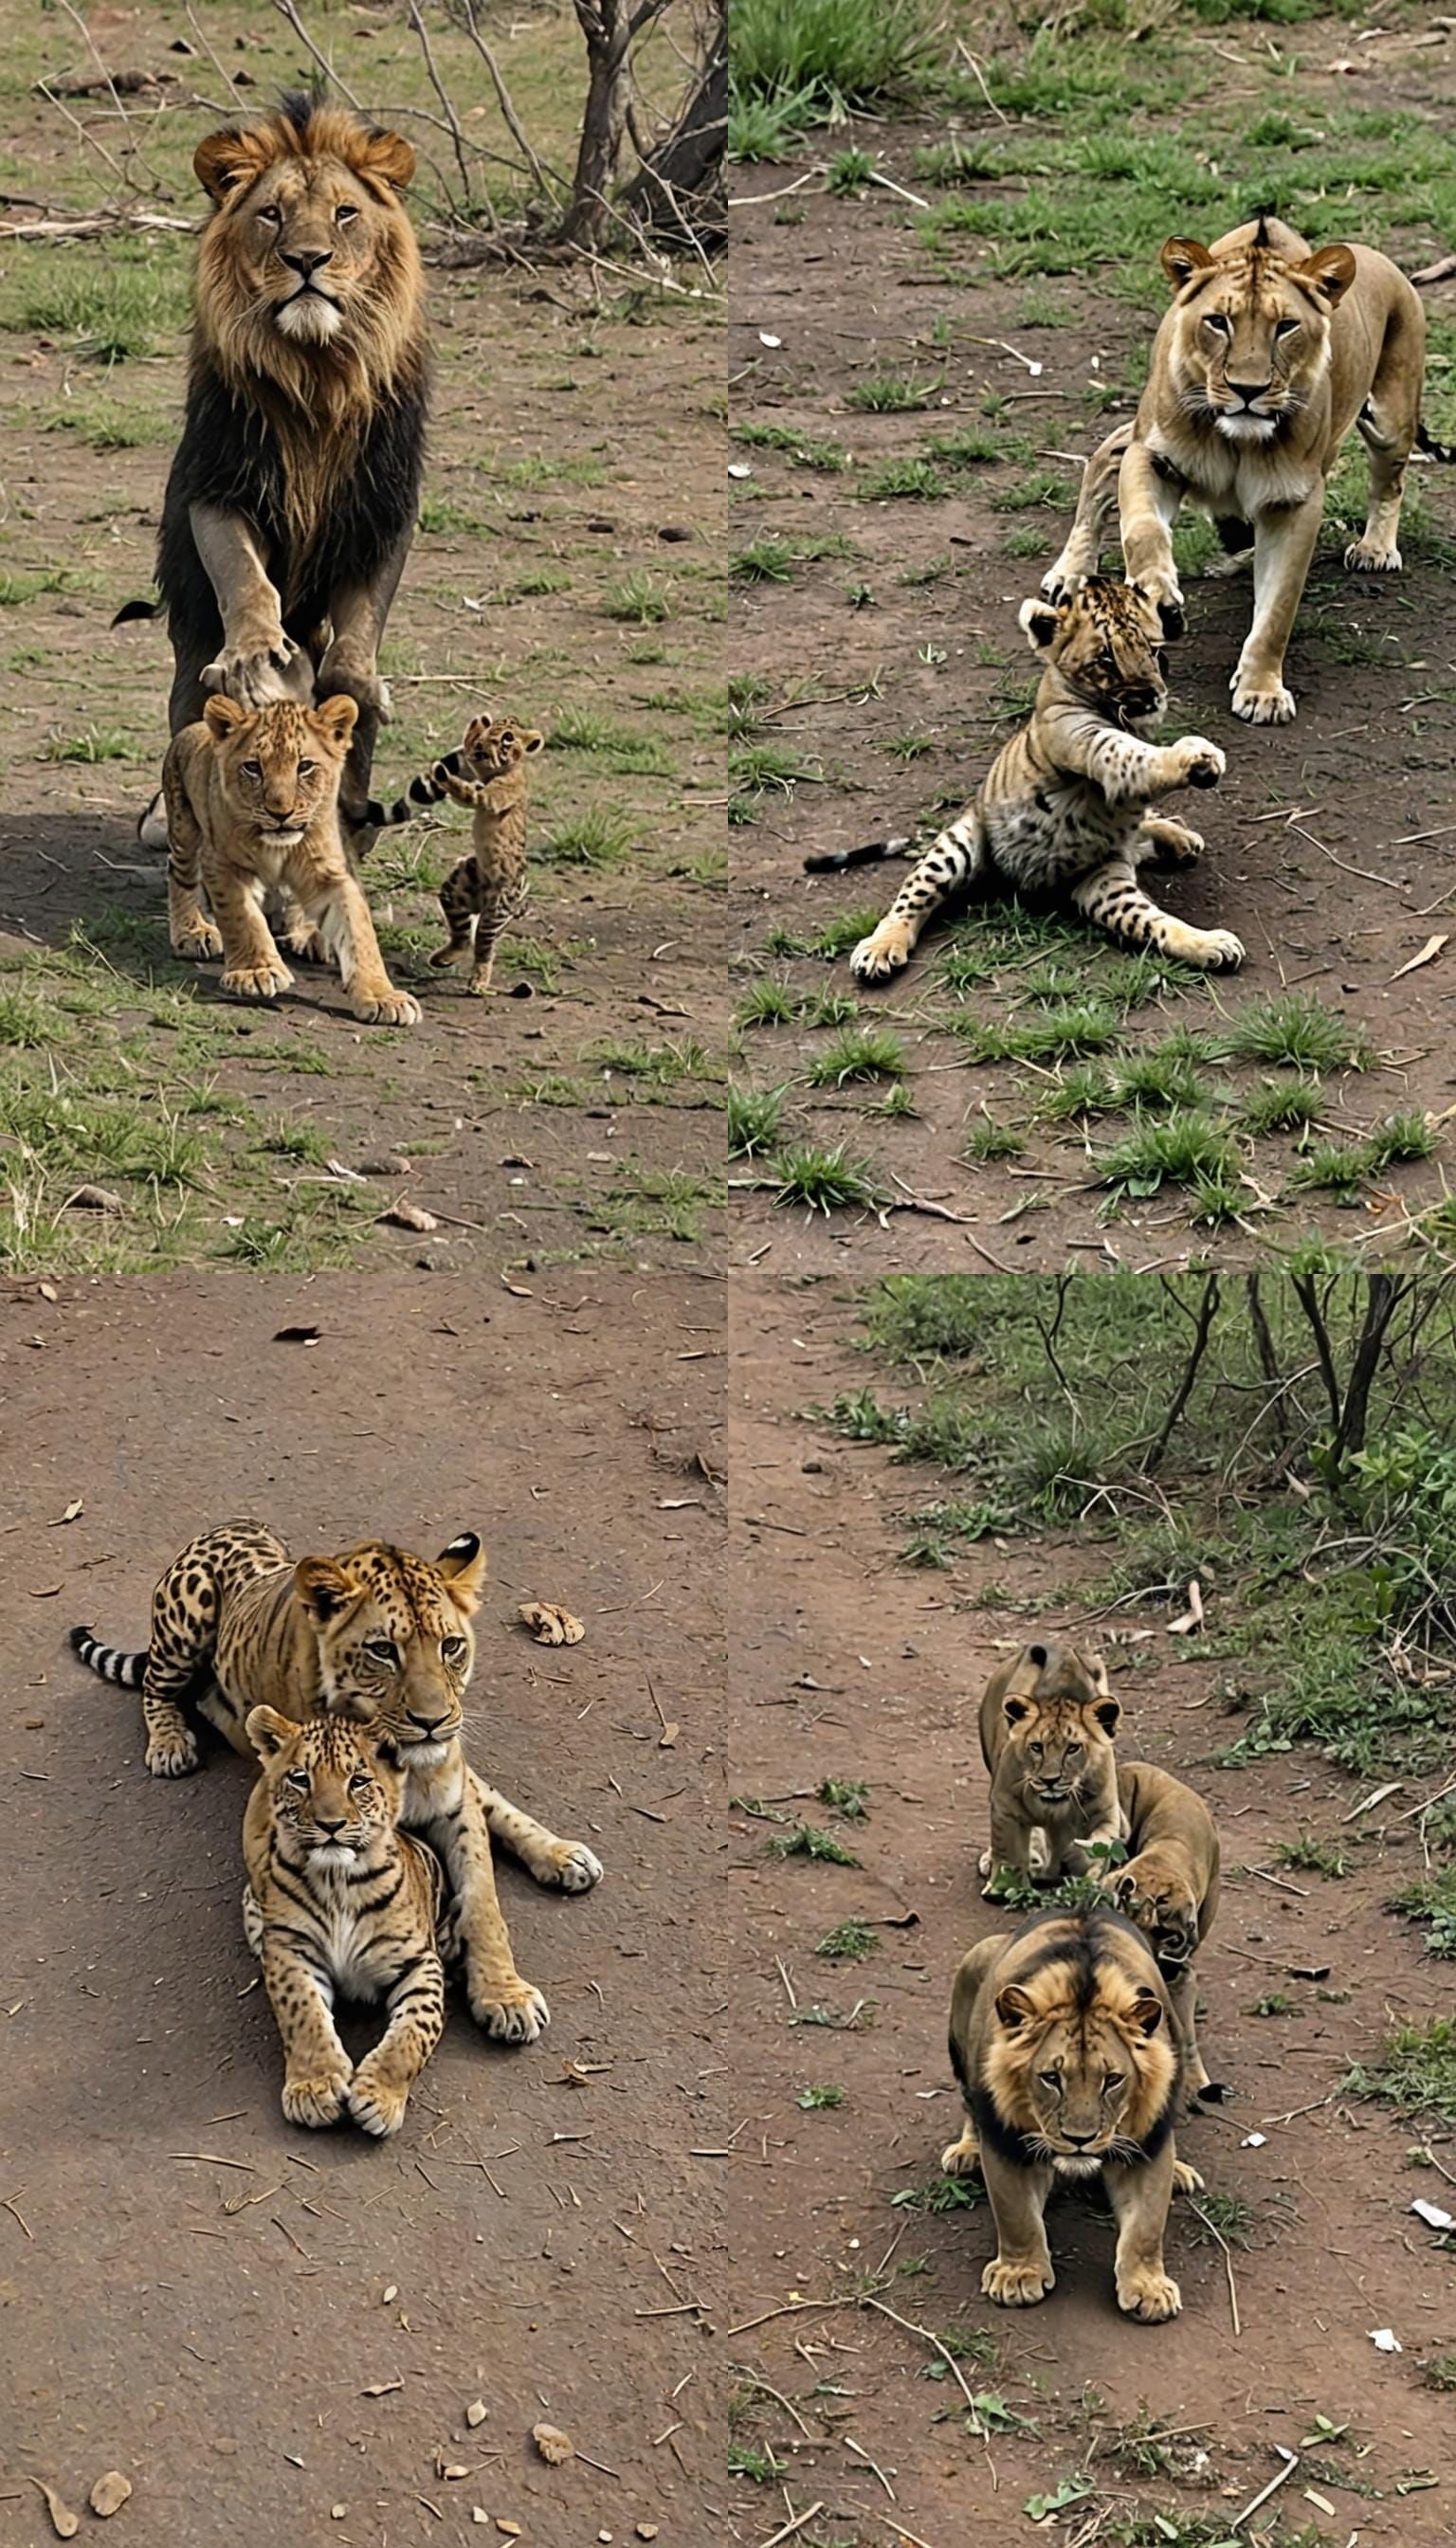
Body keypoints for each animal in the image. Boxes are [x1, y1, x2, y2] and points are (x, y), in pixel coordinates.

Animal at [124, 89, 427, 851]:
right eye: (272, 214)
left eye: (345, 213)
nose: (307, 259)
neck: (317, 372)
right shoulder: (220, 485)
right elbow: (244, 578)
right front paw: (258, 653)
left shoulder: (382, 511)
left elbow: (355, 648)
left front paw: (359, 705)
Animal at [941, 1907, 1197, 2321]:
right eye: (1051, 2078)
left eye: (1112, 2080)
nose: (1080, 2140)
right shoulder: (1006, 2140)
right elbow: (1016, 2215)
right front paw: (1019, 2275)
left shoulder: (1148, 2145)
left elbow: (1146, 2225)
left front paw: (1148, 2288)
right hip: (975, 1963)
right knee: (968, 2103)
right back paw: (967, 2152)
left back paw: (1179, 2172)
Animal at [978, 1639, 1126, 1900]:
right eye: (1037, 1747)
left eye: (1073, 1748)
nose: (1050, 1780)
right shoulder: (1005, 1804)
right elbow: (1007, 1849)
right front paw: (1002, 1887)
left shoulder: (1106, 1812)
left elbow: (1102, 1847)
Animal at [1043, 215, 1452, 724]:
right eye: (1218, 322)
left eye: (1286, 327)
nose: (1247, 390)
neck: (1235, 439)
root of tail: (1382, 261)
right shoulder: (1152, 455)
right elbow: (1142, 530)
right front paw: (1159, 594)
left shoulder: (1296, 501)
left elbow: (1277, 610)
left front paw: (1261, 691)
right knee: (1105, 457)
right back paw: (1069, 572)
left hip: (1390, 420)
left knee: (1389, 483)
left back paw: (1375, 548)